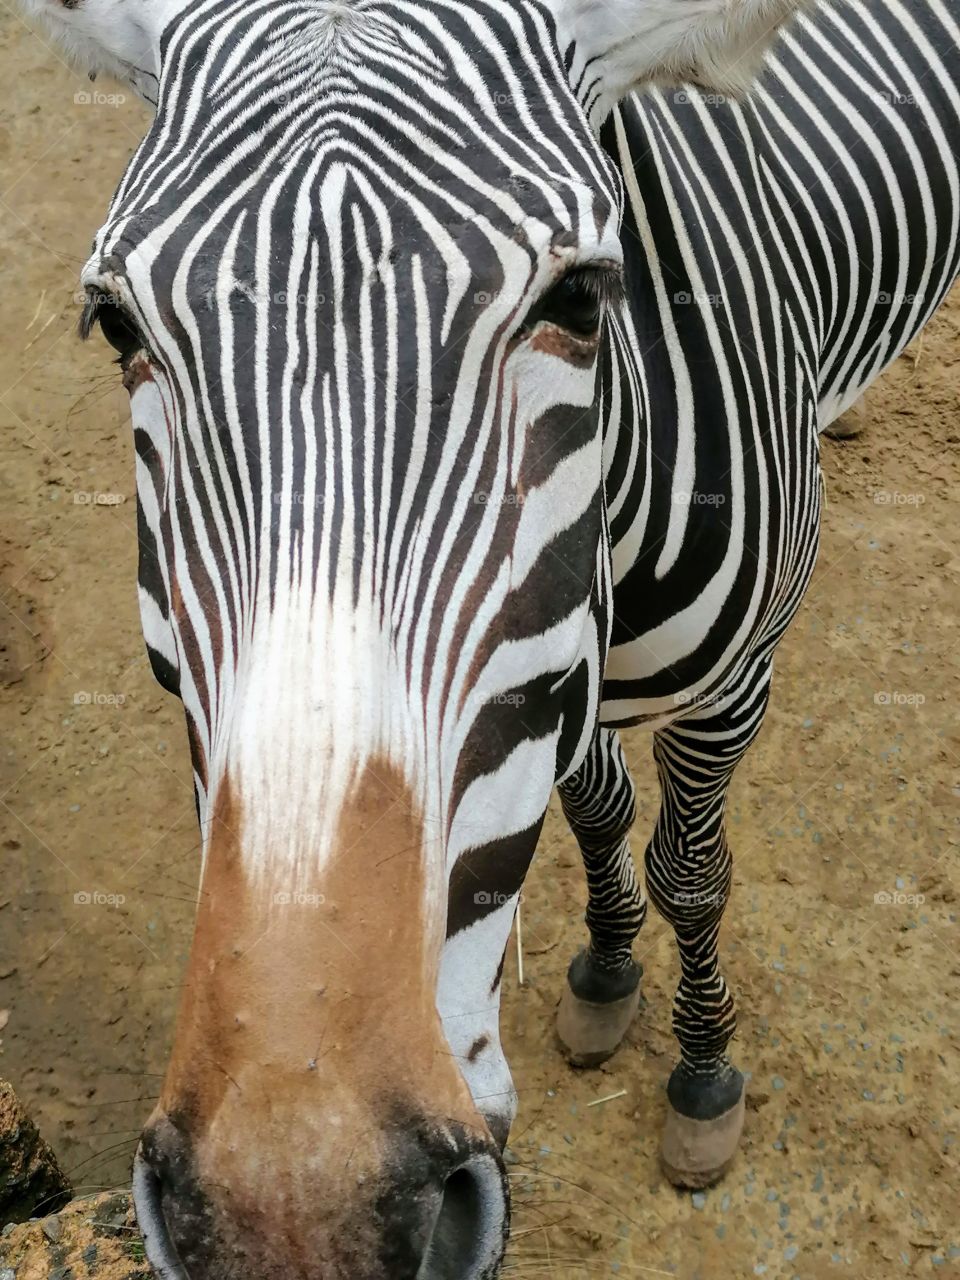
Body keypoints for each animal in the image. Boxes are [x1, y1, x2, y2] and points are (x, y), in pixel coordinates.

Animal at [18, 0, 959, 1274]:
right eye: (114, 322)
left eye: (583, 301)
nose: (298, 1206)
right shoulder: (569, 681)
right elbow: (603, 811)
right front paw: (607, 967)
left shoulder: (732, 687)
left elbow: (692, 869)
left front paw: (704, 1068)